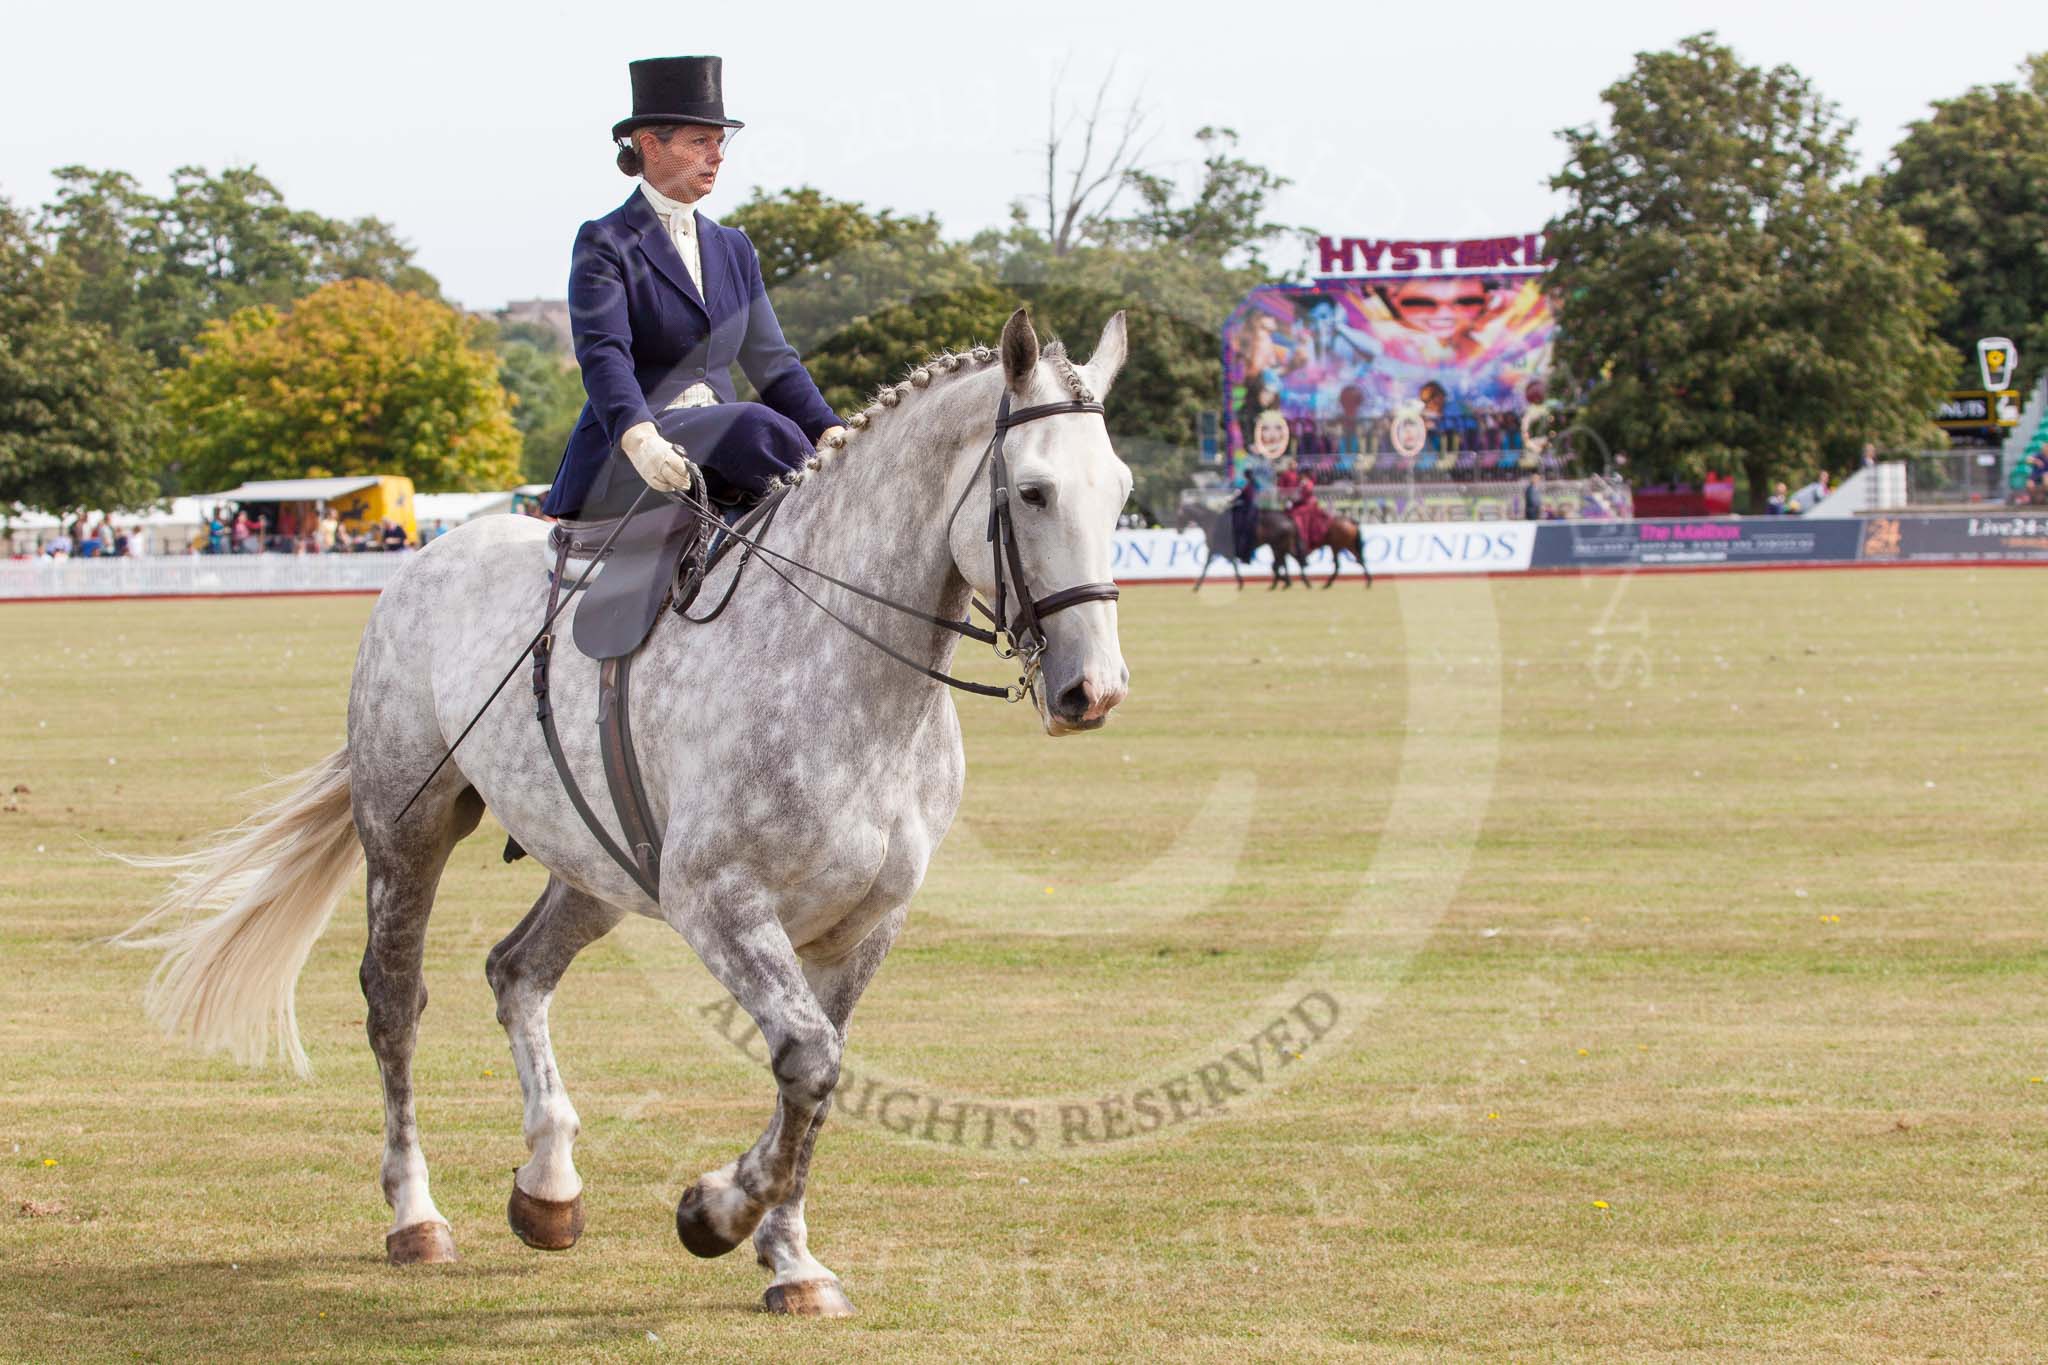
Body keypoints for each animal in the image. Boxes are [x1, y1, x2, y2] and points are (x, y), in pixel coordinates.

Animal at [123, 313, 1138, 1326]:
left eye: (1122, 492)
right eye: (1033, 491)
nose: (1092, 691)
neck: (844, 665)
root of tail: (434, 555)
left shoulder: (865, 925)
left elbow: (820, 1076)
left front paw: (789, 1256)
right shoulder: (717, 900)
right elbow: (807, 1058)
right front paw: (715, 1213)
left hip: (595, 868)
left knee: (516, 971)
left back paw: (548, 1185)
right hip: (407, 830)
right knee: (394, 1001)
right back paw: (417, 1214)